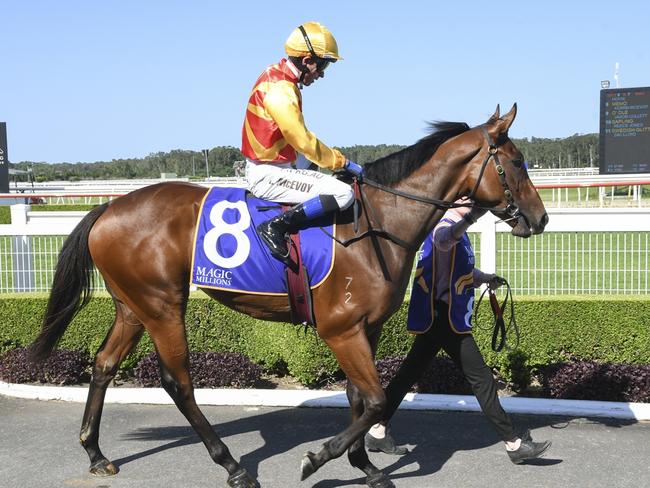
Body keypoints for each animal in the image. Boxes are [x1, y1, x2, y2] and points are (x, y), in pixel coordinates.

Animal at [31, 104, 548, 488]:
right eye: (517, 161)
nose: (540, 218)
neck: (378, 223)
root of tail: (108, 208)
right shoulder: (341, 330)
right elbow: (375, 399)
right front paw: (319, 458)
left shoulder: (366, 328)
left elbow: (360, 398)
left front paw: (366, 467)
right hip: (161, 304)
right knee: (178, 382)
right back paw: (233, 466)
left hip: (132, 305)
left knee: (103, 364)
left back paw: (95, 452)